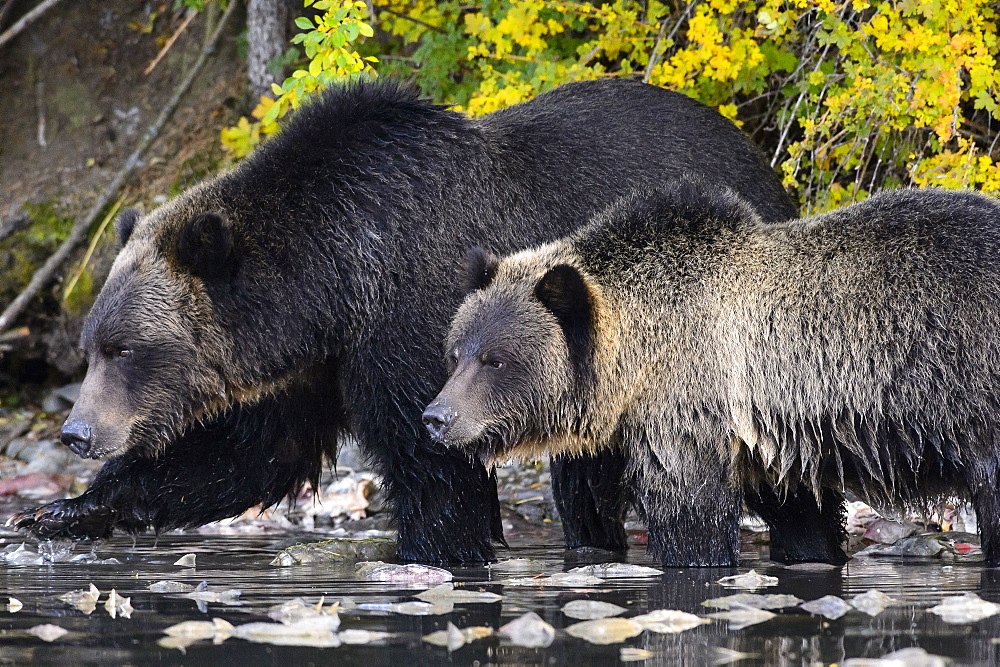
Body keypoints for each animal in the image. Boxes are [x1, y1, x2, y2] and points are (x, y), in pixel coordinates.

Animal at [11, 81, 796, 568]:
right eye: (91, 346)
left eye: (125, 348)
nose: (77, 432)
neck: (330, 277)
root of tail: (764, 161)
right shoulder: (319, 359)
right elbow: (250, 451)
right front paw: (63, 511)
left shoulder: (415, 319)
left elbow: (434, 466)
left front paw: (434, 550)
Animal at [426, 184, 1000, 568]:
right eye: (456, 353)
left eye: (497, 359)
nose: (437, 417)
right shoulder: (775, 444)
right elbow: (803, 519)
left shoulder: (692, 410)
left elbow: (690, 515)